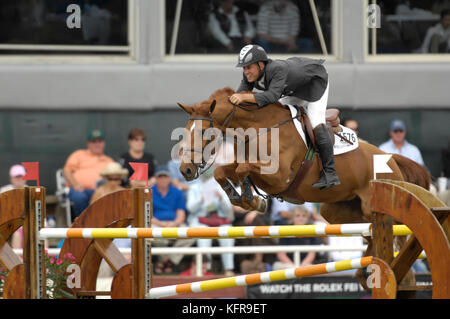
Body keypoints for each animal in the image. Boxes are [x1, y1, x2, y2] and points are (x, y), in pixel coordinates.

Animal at [176, 87, 428, 292]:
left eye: (203, 133)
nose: (186, 170)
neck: (259, 127)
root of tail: (390, 157)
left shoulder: (279, 176)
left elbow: (243, 169)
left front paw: (252, 199)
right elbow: (224, 171)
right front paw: (249, 199)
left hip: (374, 208)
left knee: (396, 237)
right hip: (337, 212)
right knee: (370, 235)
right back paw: (364, 273)